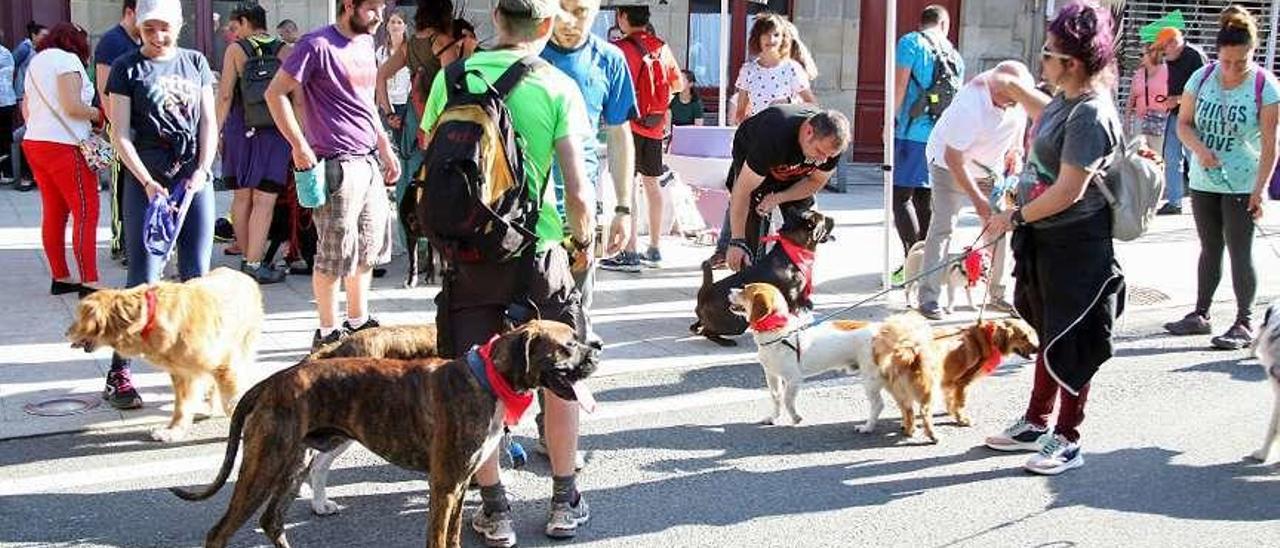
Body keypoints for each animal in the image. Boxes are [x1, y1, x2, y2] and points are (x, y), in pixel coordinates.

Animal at [67, 267, 264, 443]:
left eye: (78, 317)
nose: (65, 333)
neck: (148, 319)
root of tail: (244, 275)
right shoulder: (183, 374)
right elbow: (182, 406)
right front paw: (174, 431)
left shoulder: (224, 364)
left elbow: (232, 401)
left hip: (242, 348)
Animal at [170, 321, 599, 548]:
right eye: (567, 345)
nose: (597, 350)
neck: (487, 380)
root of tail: (273, 381)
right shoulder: (445, 486)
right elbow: (438, 538)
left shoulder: (460, 485)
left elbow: (453, 537)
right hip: (264, 467)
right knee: (220, 532)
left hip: (292, 464)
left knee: (272, 520)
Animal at [732, 282, 942, 440]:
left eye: (745, 290)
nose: (730, 290)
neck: (778, 329)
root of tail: (885, 333)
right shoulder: (772, 375)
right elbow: (776, 397)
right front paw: (774, 417)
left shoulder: (793, 379)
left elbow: (787, 399)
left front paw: (795, 418)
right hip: (887, 379)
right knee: (903, 403)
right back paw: (905, 426)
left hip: (870, 379)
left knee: (878, 405)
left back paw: (867, 427)